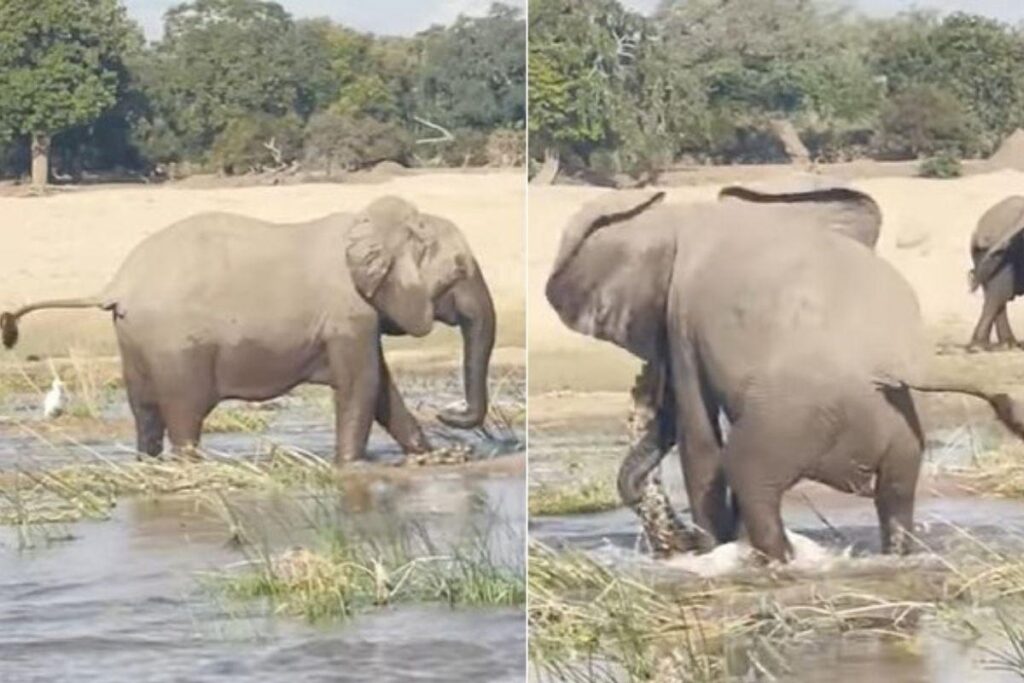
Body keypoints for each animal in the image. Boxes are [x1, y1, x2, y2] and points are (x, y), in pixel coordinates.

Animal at [0, 196, 496, 463]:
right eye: (459, 269)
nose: (447, 414)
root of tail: (116, 284)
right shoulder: (349, 315)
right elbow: (363, 385)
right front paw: (352, 466)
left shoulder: (359, 318)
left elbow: (380, 389)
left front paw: (435, 457)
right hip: (174, 345)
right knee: (184, 414)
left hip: (135, 340)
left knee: (145, 413)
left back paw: (150, 465)